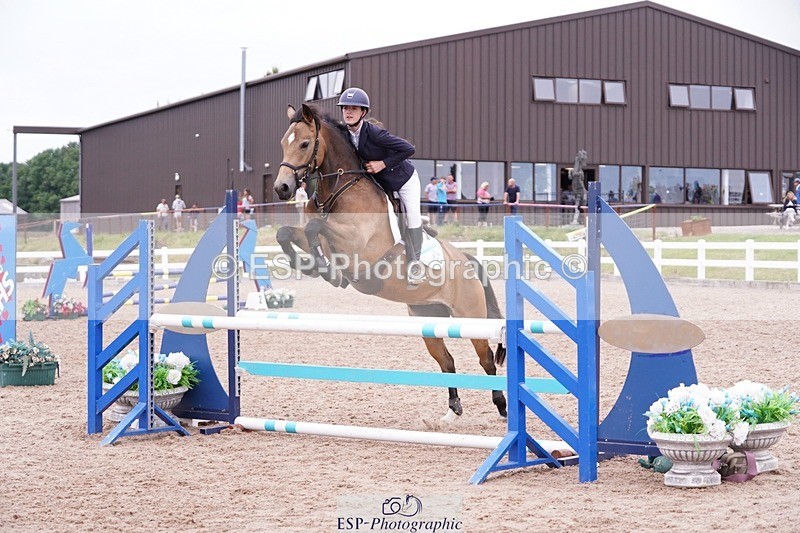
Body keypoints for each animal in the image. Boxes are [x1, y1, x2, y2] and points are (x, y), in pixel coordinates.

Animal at [273, 103, 507, 420]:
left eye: (305, 144)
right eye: (284, 142)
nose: (282, 188)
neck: (337, 189)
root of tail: (467, 260)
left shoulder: (356, 243)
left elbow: (314, 228)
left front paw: (327, 270)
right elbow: (288, 232)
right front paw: (315, 267)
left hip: (470, 317)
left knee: (486, 360)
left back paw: (502, 405)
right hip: (427, 317)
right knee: (446, 361)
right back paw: (453, 408)